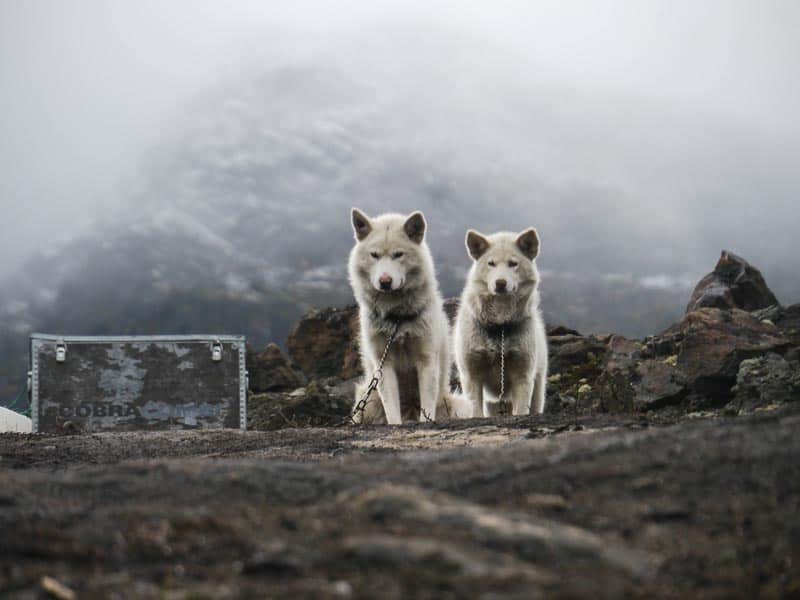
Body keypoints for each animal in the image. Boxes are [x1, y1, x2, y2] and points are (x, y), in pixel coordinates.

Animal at [348, 209, 472, 424]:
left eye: (398, 254)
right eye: (374, 255)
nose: (385, 281)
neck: (397, 318)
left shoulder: (426, 361)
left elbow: (427, 409)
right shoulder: (384, 366)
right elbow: (392, 411)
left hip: (459, 406)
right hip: (366, 399)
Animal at [454, 229, 548, 418]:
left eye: (513, 264)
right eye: (491, 263)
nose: (500, 283)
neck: (500, 325)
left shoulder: (522, 377)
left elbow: (521, 411)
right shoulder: (472, 376)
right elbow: (476, 412)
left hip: (537, 389)